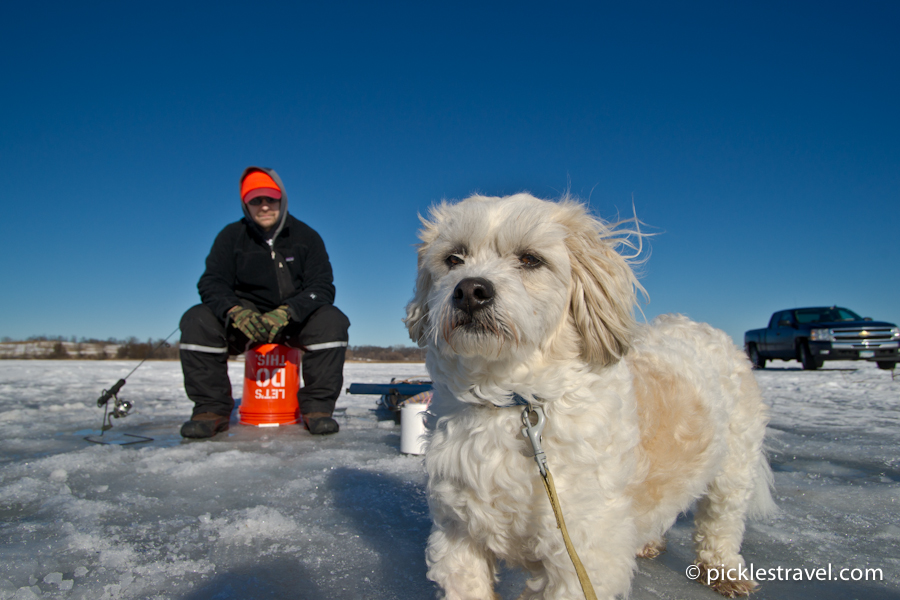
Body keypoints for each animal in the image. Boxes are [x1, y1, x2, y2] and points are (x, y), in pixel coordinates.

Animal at [402, 195, 772, 596]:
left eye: (530, 259)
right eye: (454, 258)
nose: (470, 290)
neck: (512, 400)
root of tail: (702, 326)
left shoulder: (581, 556)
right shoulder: (458, 537)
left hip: (733, 470)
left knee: (721, 524)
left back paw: (723, 570)